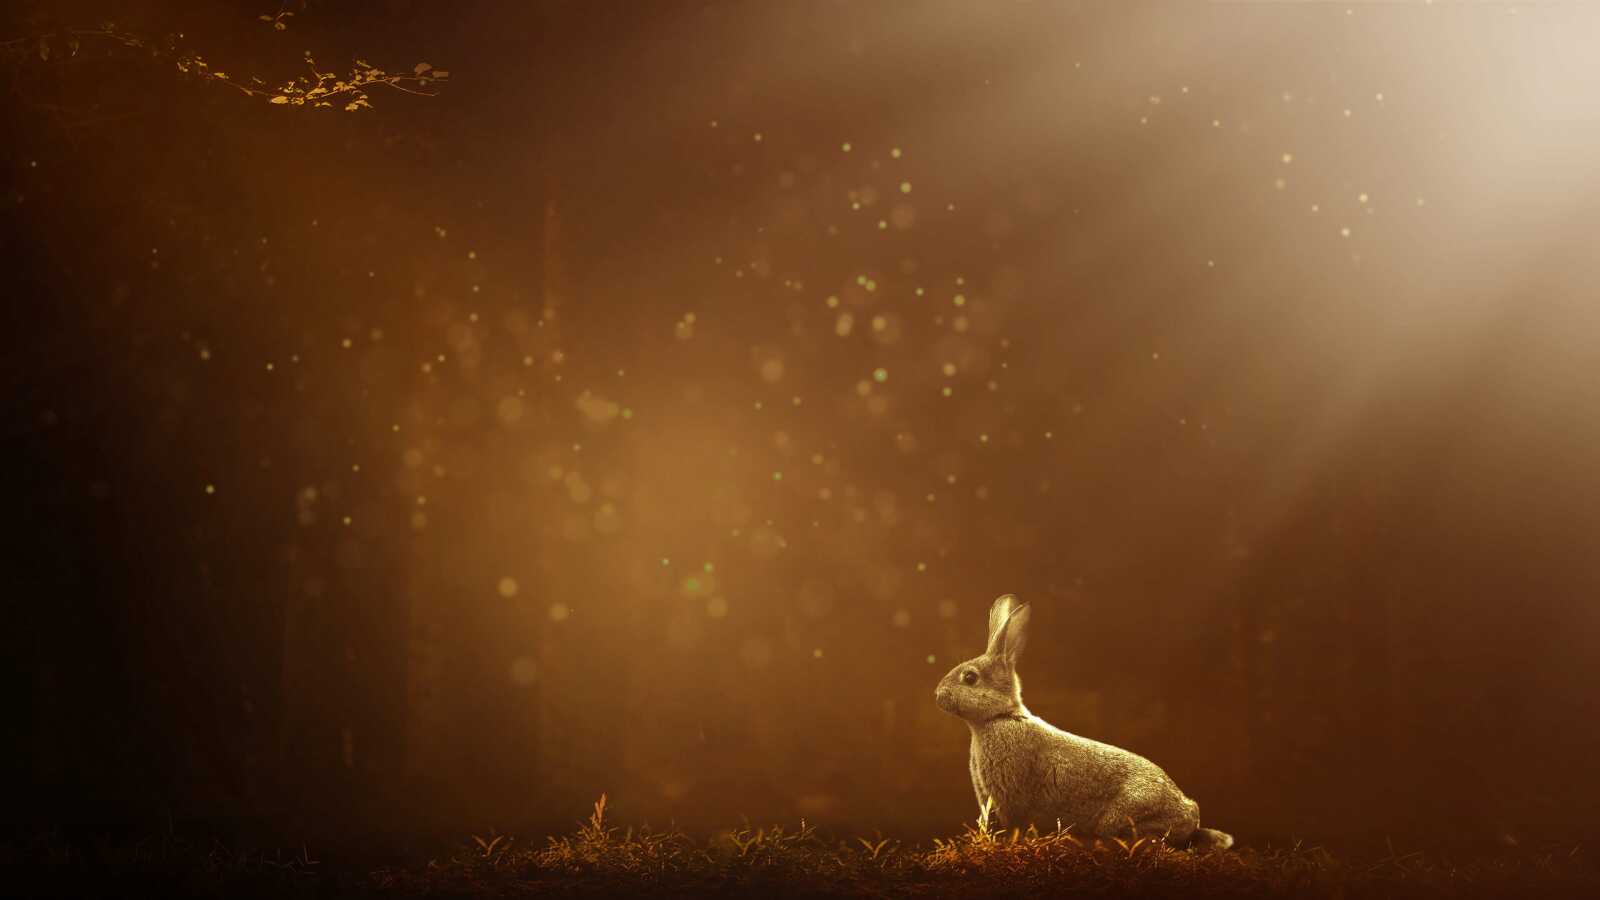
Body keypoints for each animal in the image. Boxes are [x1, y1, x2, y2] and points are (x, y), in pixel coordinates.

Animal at [934, 594, 1234, 850]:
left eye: (970, 678)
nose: (938, 695)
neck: (998, 718)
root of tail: (1190, 814)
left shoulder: (1009, 798)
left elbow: (1012, 826)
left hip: (1123, 815)